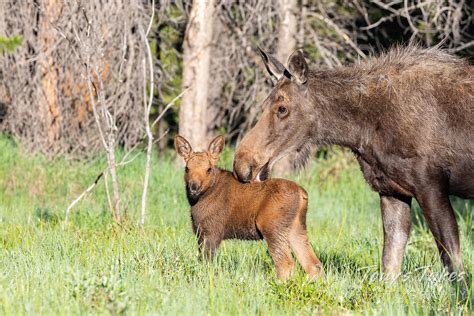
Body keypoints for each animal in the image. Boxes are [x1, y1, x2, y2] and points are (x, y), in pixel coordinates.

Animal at [176, 135, 324, 280]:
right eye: (187, 168)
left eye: (209, 169)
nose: (194, 187)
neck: (197, 201)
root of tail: (303, 194)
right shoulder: (200, 233)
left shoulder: (212, 231)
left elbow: (208, 264)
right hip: (296, 227)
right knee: (313, 264)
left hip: (272, 227)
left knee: (286, 263)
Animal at [234, 43, 474, 282]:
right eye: (263, 105)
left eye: (282, 108)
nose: (242, 164)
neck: (360, 133)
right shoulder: (392, 191)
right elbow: (390, 265)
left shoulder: (431, 187)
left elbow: (453, 263)